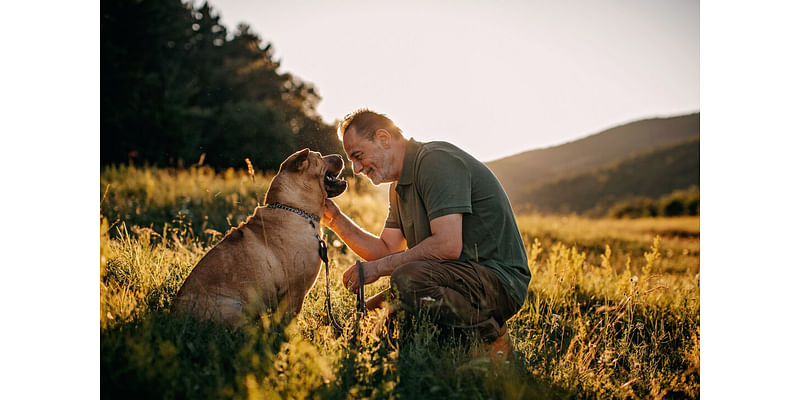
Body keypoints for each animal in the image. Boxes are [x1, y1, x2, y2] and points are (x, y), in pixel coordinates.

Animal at [173, 148, 348, 326]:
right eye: (319, 156)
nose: (340, 155)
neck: (295, 209)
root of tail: (176, 313)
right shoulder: (296, 290)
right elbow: (288, 319)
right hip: (233, 307)